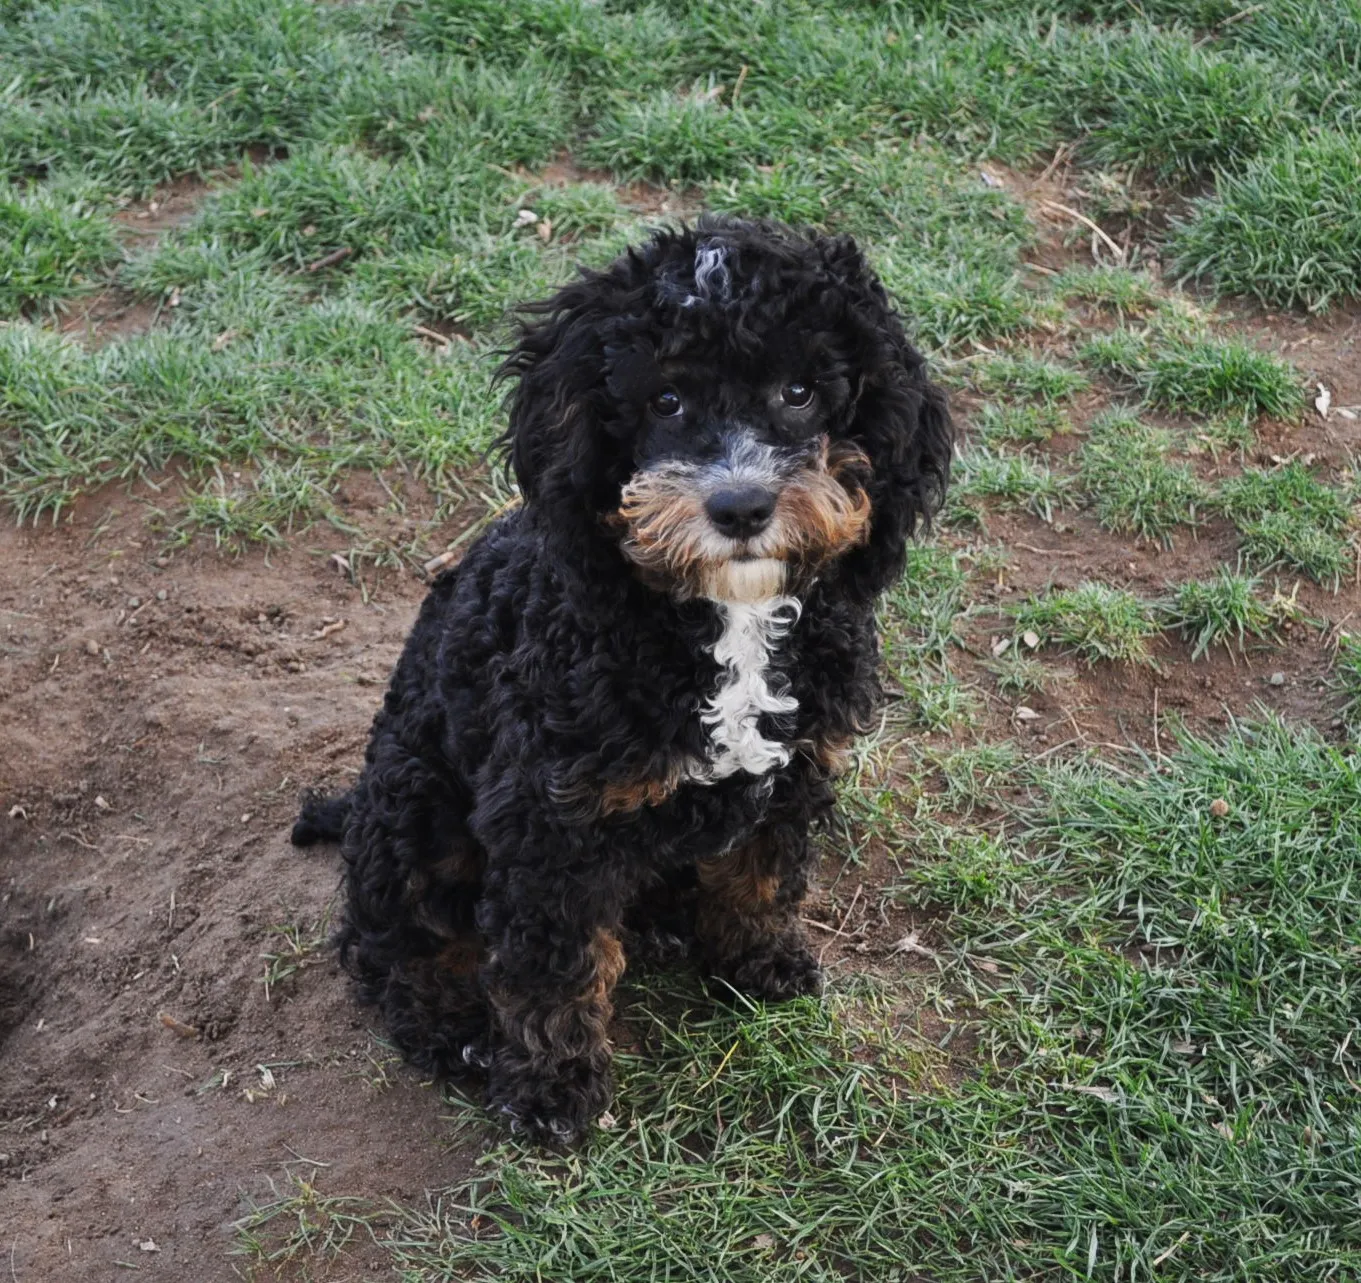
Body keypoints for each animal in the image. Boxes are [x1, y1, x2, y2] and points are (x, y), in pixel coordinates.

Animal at [289, 217, 947, 1142]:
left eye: (799, 390)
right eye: (663, 400)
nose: (741, 507)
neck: (723, 619)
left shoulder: (794, 768)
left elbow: (764, 876)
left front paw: (757, 962)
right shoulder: (549, 815)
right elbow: (553, 963)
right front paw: (552, 1089)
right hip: (415, 800)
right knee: (391, 939)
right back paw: (451, 1024)